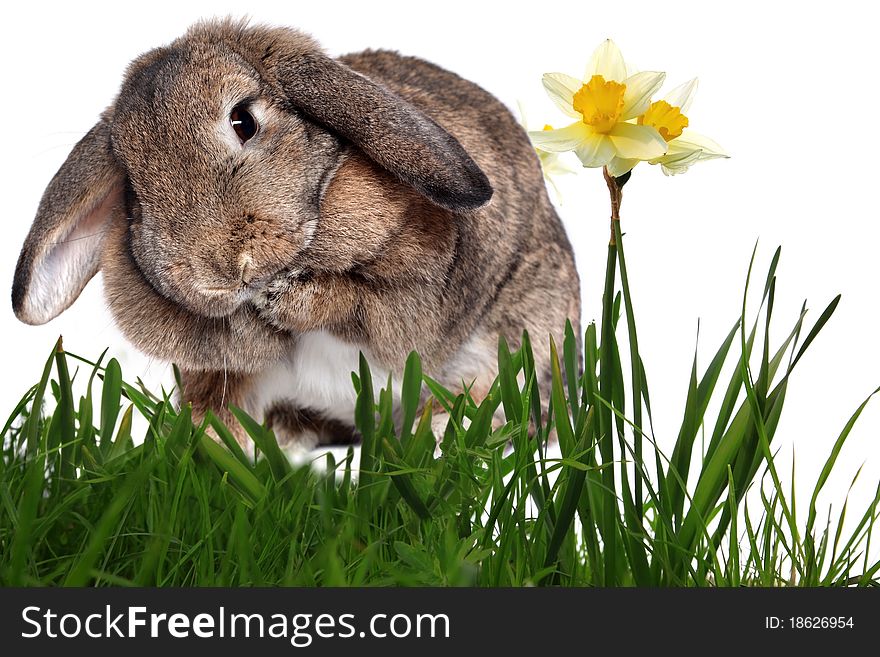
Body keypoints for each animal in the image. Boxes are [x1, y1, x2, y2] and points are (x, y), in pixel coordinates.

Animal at [12, 20, 584, 452]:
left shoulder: (414, 287)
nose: (219, 268)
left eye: (243, 119)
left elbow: (359, 302)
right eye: (132, 184)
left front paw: (286, 301)